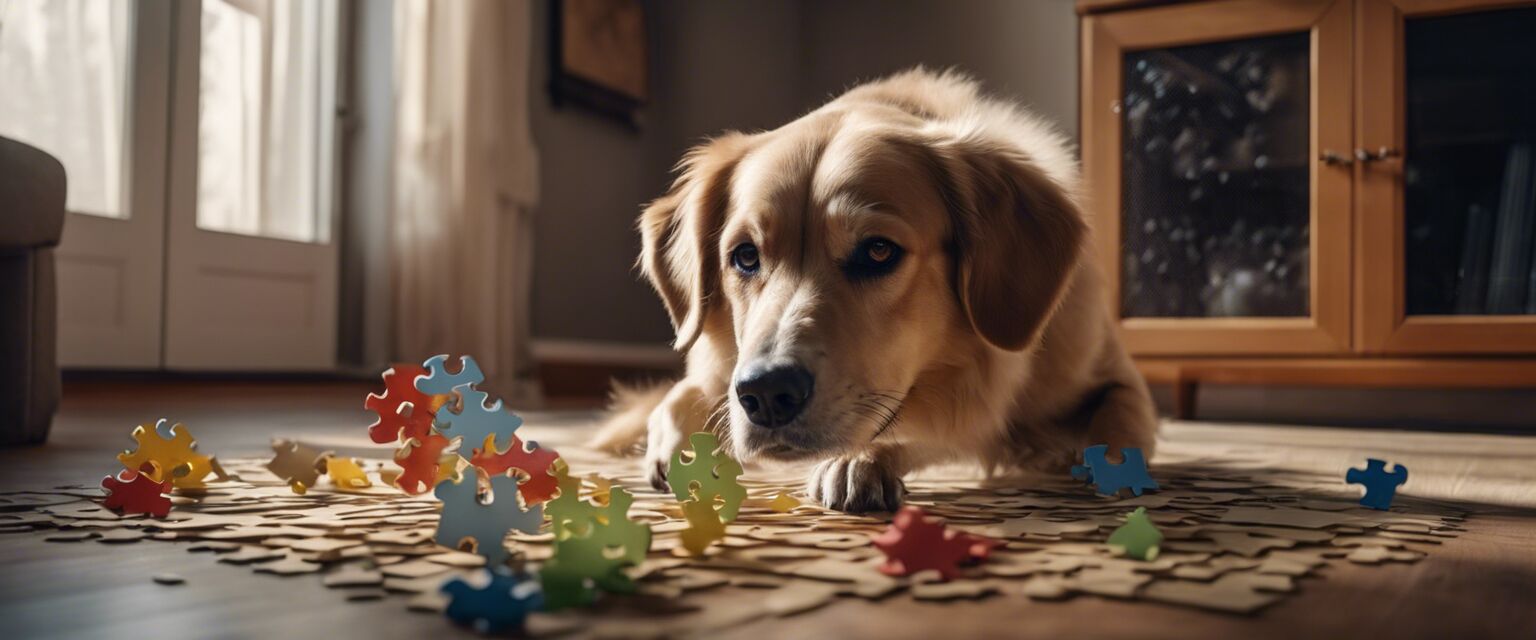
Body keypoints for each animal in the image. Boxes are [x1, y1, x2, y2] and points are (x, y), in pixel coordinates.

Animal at [592, 67, 1155, 512]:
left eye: (879, 251)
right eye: (745, 256)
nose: (766, 395)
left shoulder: (1115, 380)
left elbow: (1118, 427)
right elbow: (683, 394)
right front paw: (676, 444)